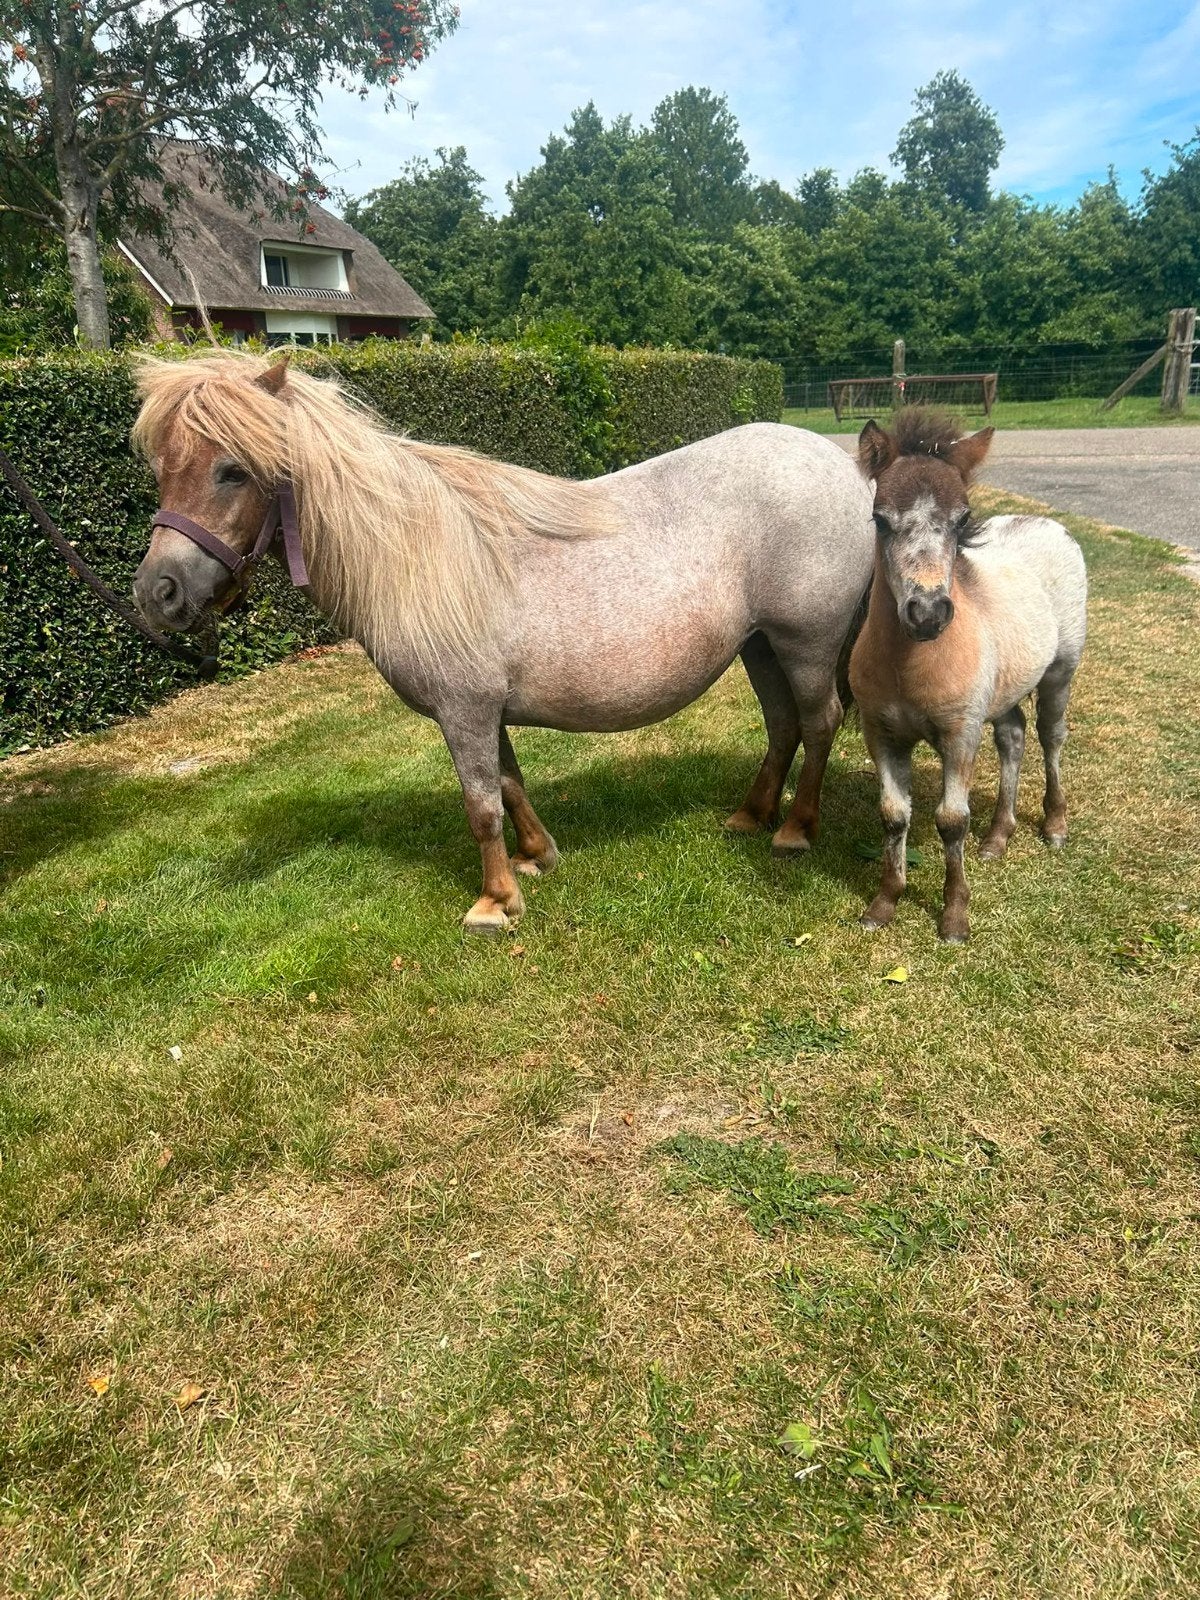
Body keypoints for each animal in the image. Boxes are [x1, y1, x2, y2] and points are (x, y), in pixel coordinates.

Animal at [129, 352, 875, 932]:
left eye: (231, 470)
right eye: (162, 469)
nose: (157, 593)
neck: (419, 555)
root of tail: (843, 467)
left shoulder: (463, 713)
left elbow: (481, 805)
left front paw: (494, 903)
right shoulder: (487, 711)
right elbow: (511, 786)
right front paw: (537, 858)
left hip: (806, 644)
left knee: (820, 722)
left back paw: (793, 830)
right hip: (760, 646)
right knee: (782, 726)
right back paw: (750, 816)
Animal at [849, 409, 1087, 943]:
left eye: (962, 520)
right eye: (879, 519)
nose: (927, 613)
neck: (910, 667)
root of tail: (1045, 522)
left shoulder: (960, 733)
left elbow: (952, 821)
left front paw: (955, 916)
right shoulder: (882, 733)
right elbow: (893, 815)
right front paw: (883, 904)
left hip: (1060, 672)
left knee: (1051, 736)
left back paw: (1055, 826)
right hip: (1003, 693)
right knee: (1013, 738)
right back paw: (998, 838)